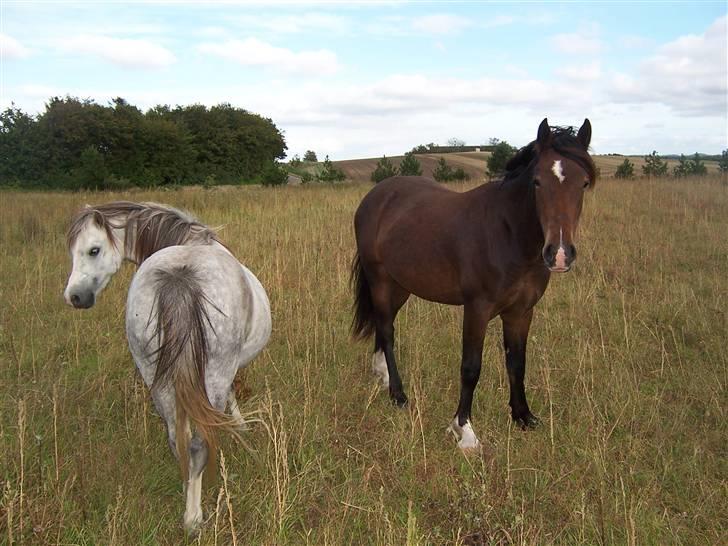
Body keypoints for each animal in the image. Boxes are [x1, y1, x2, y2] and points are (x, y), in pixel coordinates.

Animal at [62, 201, 272, 532]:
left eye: (93, 250)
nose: (74, 297)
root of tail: (180, 274)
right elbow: (229, 397)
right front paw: (240, 426)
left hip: (154, 375)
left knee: (177, 440)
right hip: (213, 372)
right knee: (197, 444)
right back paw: (193, 517)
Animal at [352, 117, 596, 448]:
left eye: (583, 183)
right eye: (537, 182)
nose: (559, 254)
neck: (507, 233)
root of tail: (376, 195)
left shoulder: (521, 311)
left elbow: (517, 363)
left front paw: (523, 416)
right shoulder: (477, 309)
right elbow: (471, 367)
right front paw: (464, 430)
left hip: (399, 286)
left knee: (382, 324)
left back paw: (383, 376)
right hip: (379, 280)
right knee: (388, 333)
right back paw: (398, 394)